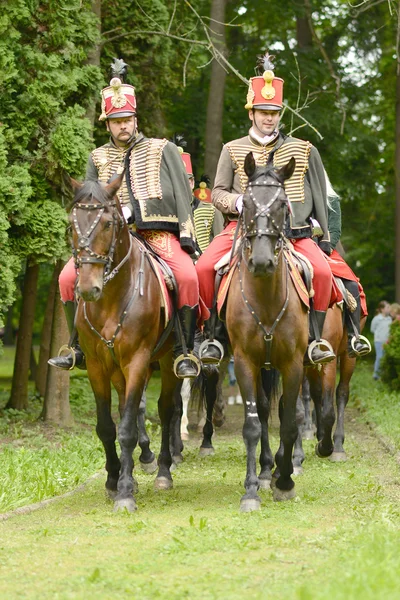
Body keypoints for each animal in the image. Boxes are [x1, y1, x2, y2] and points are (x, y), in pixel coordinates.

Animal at [70, 173, 180, 510]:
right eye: (71, 222)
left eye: (108, 223)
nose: (88, 288)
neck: (110, 298)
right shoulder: (96, 365)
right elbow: (107, 426)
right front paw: (112, 478)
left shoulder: (137, 360)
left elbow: (128, 427)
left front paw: (126, 491)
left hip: (167, 360)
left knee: (167, 409)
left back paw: (163, 471)